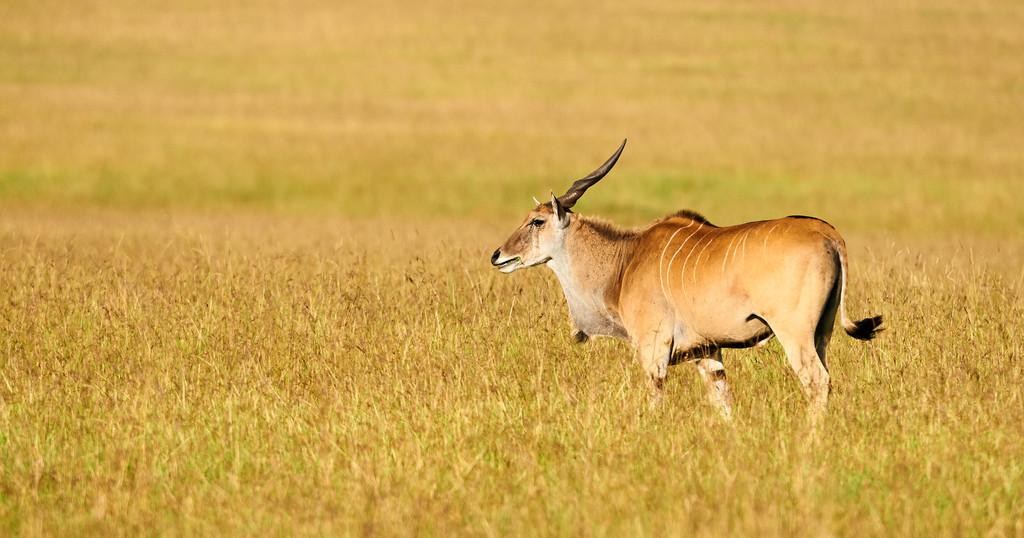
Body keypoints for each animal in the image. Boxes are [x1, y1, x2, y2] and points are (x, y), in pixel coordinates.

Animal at [487, 140, 880, 418]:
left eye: (536, 221)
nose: (498, 255)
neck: (625, 262)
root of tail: (828, 233)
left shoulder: (654, 351)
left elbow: (655, 401)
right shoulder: (707, 353)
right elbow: (724, 405)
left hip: (794, 333)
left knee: (816, 381)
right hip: (822, 333)